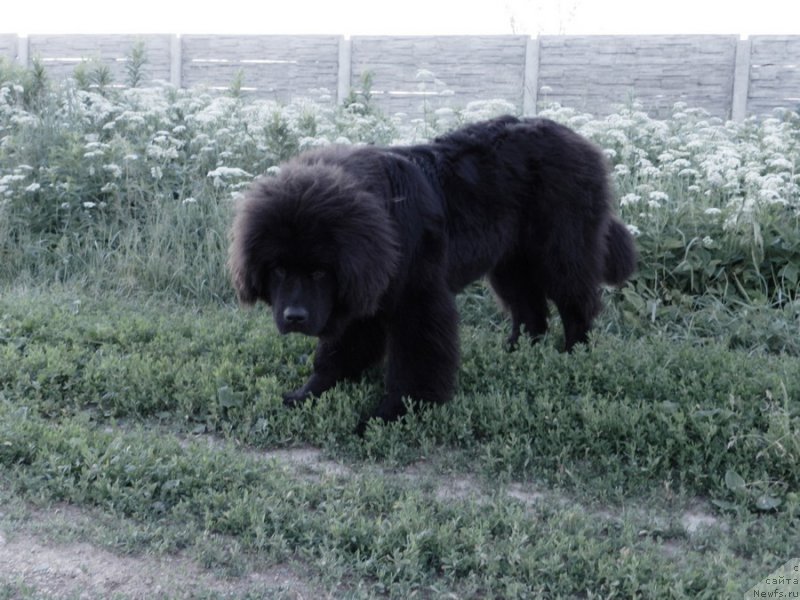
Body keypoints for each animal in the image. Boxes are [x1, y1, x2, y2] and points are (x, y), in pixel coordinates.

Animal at [228, 116, 636, 426]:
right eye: (279, 269)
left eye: (319, 272)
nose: (294, 317)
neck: (384, 219)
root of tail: (577, 138)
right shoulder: (364, 293)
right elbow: (337, 351)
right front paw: (309, 392)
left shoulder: (415, 298)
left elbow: (416, 360)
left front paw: (393, 413)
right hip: (509, 263)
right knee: (530, 311)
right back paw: (517, 355)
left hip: (561, 250)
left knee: (576, 303)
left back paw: (573, 355)